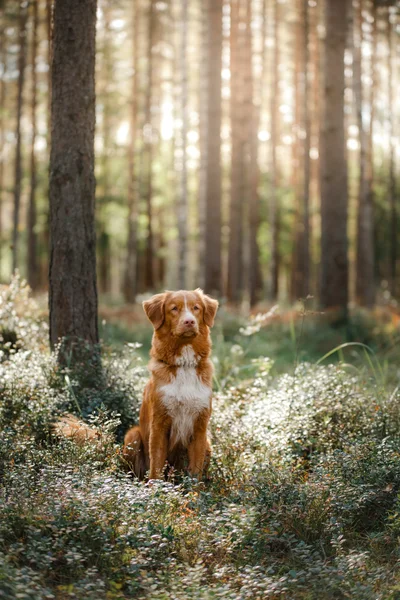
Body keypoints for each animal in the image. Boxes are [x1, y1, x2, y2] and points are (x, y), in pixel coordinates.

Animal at [124, 288, 220, 480]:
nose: (189, 321)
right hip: (132, 436)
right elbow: (156, 467)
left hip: (208, 443)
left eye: (196, 308)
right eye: (174, 308)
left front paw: (196, 488)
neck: (184, 364)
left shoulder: (200, 426)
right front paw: (156, 488)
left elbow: (196, 471)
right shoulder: (159, 424)